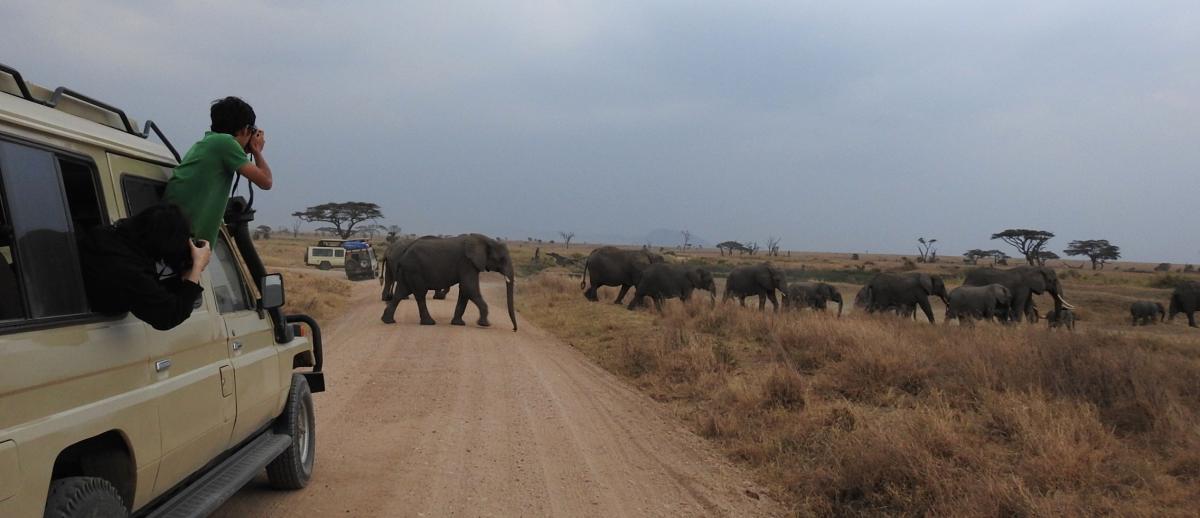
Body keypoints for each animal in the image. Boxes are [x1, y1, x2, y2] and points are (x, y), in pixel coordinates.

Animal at [379, 233, 516, 330]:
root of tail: (403, 254)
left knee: (400, 293)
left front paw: (458, 323)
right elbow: (469, 287)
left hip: (408, 271)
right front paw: (485, 324)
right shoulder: (467, 263)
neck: (486, 240)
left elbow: (465, 290)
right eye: (502, 259)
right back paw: (429, 323)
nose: (514, 329)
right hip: (414, 270)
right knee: (419, 294)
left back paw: (387, 320)